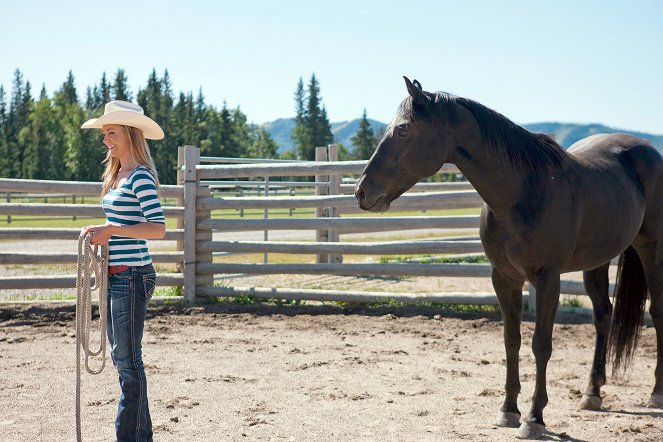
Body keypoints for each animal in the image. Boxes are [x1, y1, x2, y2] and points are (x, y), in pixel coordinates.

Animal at [356, 76, 663, 438]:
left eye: (403, 130)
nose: (362, 191)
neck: (523, 191)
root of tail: (645, 150)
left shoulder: (547, 278)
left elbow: (541, 343)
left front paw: (534, 418)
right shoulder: (503, 277)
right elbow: (511, 340)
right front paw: (508, 410)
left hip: (652, 249)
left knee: (657, 313)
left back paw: (656, 393)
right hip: (598, 260)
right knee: (603, 316)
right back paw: (592, 393)